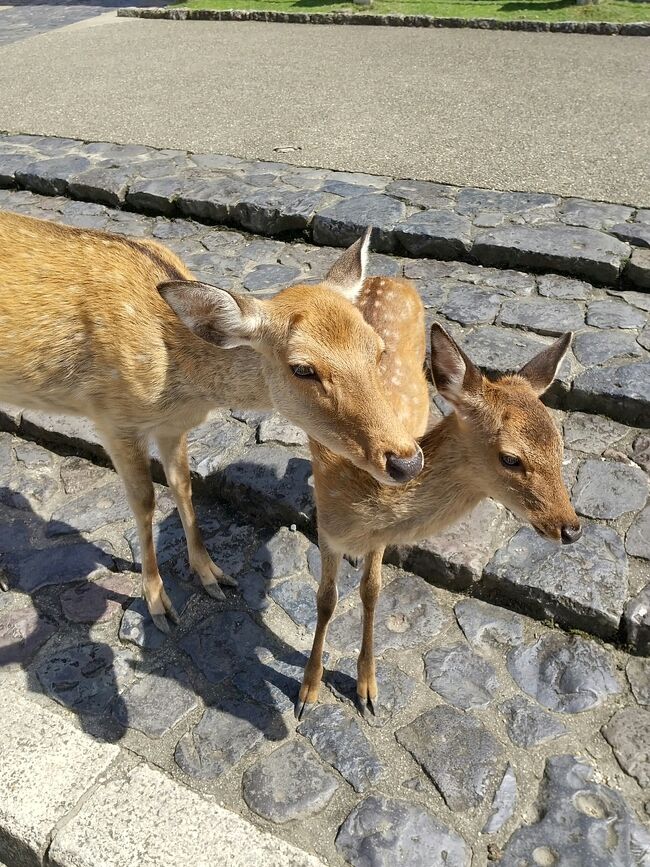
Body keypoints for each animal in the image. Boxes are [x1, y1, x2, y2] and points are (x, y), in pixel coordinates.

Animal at [0, 210, 426, 632]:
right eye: (302, 368)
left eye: (378, 348)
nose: (407, 461)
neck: (182, 386)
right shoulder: (111, 417)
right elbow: (144, 501)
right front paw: (158, 605)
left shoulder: (172, 425)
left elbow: (182, 486)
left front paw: (212, 575)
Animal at [296, 276, 580, 720]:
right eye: (510, 458)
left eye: (559, 445)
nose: (570, 528)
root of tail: (386, 278)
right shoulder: (327, 526)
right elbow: (325, 600)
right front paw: (308, 691)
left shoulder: (379, 539)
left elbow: (371, 592)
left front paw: (368, 689)